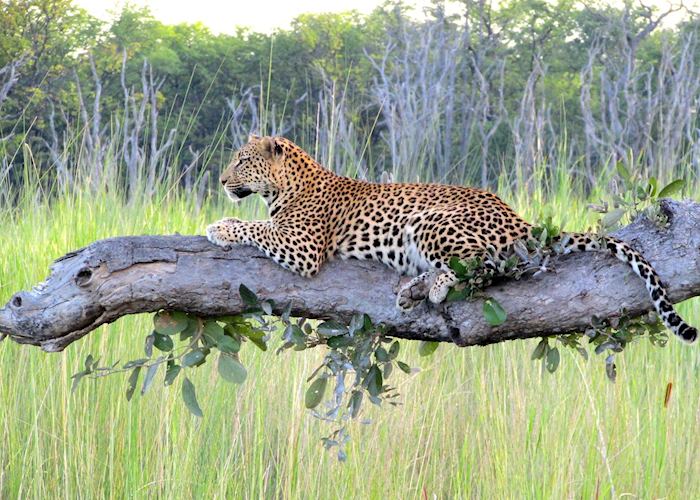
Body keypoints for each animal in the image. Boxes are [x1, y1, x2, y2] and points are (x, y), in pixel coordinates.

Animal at [205, 134, 696, 344]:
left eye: (242, 160)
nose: (222, 180)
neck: (285, 185)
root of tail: (520, 219)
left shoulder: (302, 246)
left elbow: (256, 228)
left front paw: (219, 226)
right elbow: (259, 224)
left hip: (429, 221)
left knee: (489, 268)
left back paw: (435, 287)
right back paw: (414, 290)